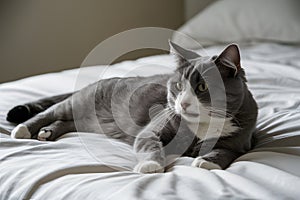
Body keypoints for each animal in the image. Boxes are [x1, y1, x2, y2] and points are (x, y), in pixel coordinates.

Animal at [7, 41, 258, 173]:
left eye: (203, 87)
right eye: (178, 85)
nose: (183, 103)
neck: (203, 125)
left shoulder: (241, 139)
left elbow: (226, 151)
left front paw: (206, 161)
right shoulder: (155, 127)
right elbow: (149, 144)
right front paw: (150, 166)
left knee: (65, 122)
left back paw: (47, 132)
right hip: (75, 103)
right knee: (50, 112)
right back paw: (24, 129)